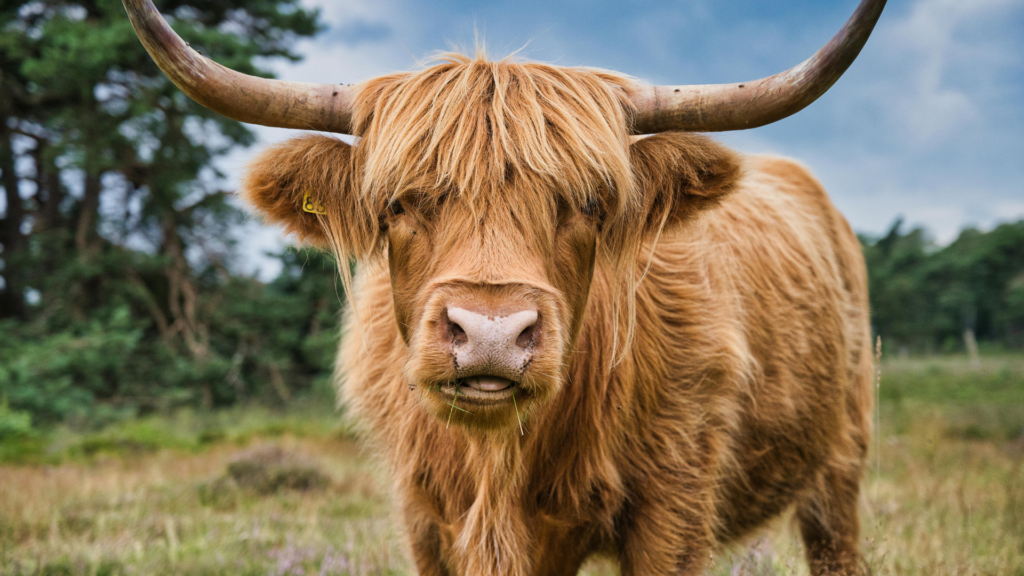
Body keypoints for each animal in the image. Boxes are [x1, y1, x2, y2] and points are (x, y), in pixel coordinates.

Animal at [122, 0, 885, 574]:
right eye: (397, 203)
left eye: (590, 203)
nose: (491, 334)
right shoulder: (426, 518)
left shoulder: (674, 506)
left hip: (840, 464)